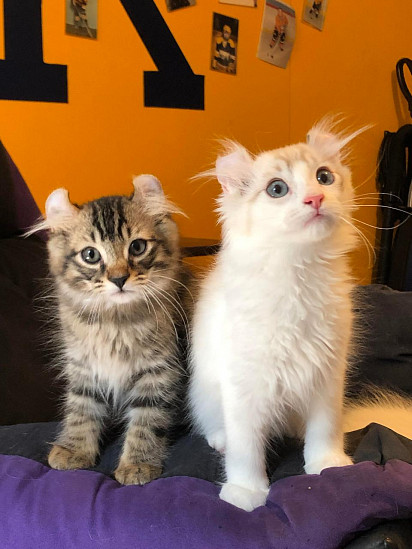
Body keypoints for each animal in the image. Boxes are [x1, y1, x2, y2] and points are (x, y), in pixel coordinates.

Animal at [36, 174, 189, 484]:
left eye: (137, 247)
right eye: (90, 255)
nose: (119, 279)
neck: (115, 321)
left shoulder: (159, 371)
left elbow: (147, 419)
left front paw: (137, 464)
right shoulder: (83, 366)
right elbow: (81, 409)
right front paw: (73, 449)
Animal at [187, 120, 364, 510]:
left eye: (324, 177)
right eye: (277, 189)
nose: (315, 199)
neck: (298, 268)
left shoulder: (328, 372)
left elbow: (324, 428)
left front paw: (327, 464)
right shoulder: (244, 382)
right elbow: (246, 447)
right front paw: (246, 491)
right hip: (207, 390)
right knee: (213, 423)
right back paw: (220, 438)